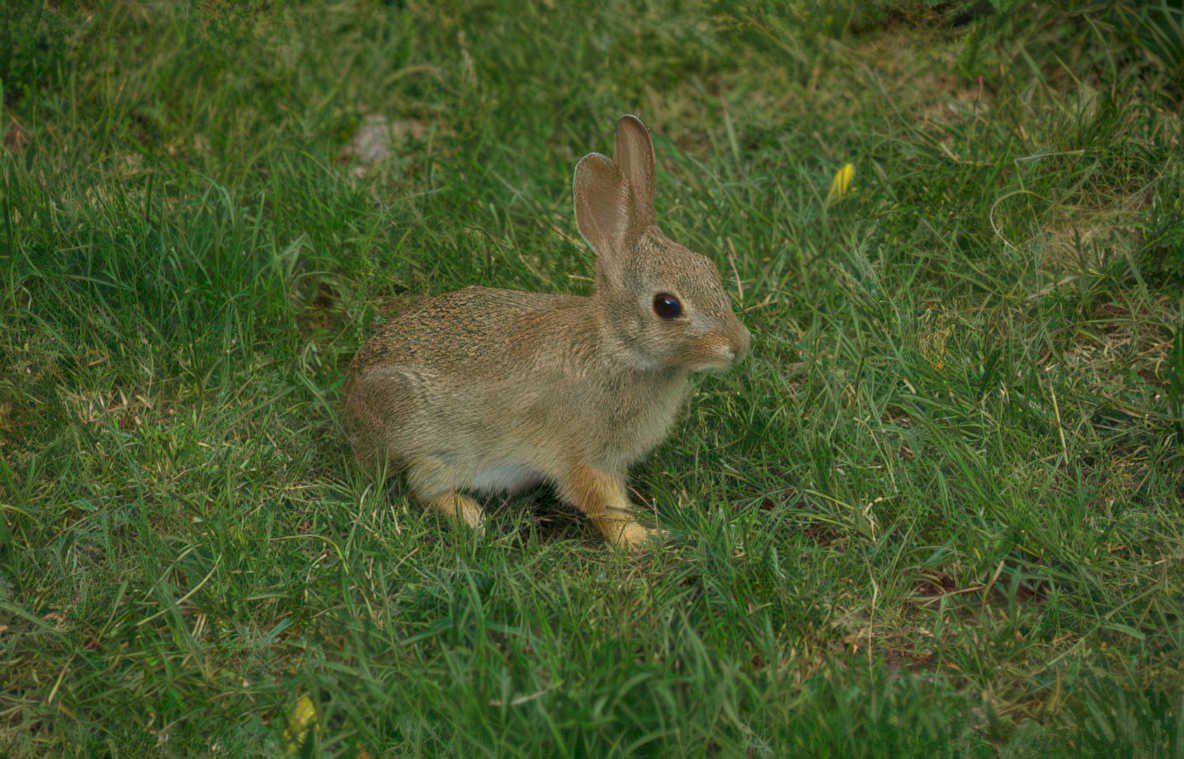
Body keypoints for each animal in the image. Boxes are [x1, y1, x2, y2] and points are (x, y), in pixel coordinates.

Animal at [343, 115, 750, 548]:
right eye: (667, 306)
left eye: (708, 266)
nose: (739, 346)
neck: (616, 350)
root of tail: (351, 403)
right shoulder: (582, 453)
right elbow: (602, 502)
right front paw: (644, 538)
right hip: (437, 444)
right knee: (423, 485)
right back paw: (472, 517)